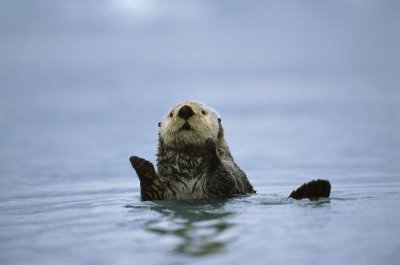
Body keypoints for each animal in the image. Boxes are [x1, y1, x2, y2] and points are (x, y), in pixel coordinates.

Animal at [130, 100, 330, 199]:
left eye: (203, 112)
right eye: (171, 113)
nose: (185, 110)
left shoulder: (228, 180)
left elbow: (224, 178)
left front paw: (210, 147)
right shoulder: (164, 189)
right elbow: (151, 190)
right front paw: (137, 162)